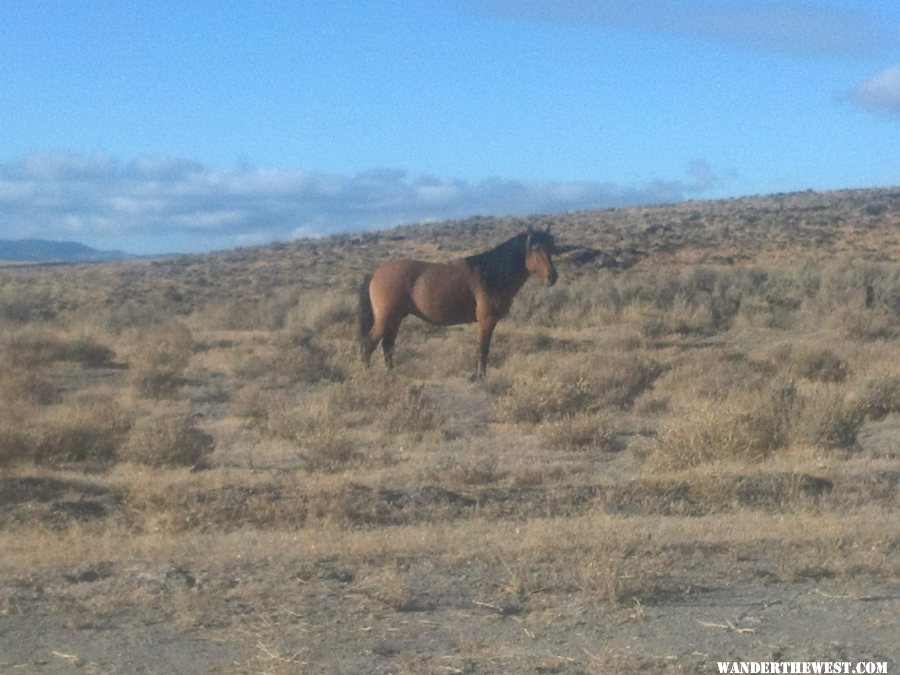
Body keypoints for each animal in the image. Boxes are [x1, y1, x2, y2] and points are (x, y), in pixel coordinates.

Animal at [356, 226, 556, 374]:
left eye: (551, 247)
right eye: (535, 248)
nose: (552, 277)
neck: (490, 274)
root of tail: (375, 272)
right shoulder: (486, 321)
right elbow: (483, 350)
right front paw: (480, 378)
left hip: (396, 318)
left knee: (387, 345)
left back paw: (391, 375)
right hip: (386, 318)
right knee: (368, 345)